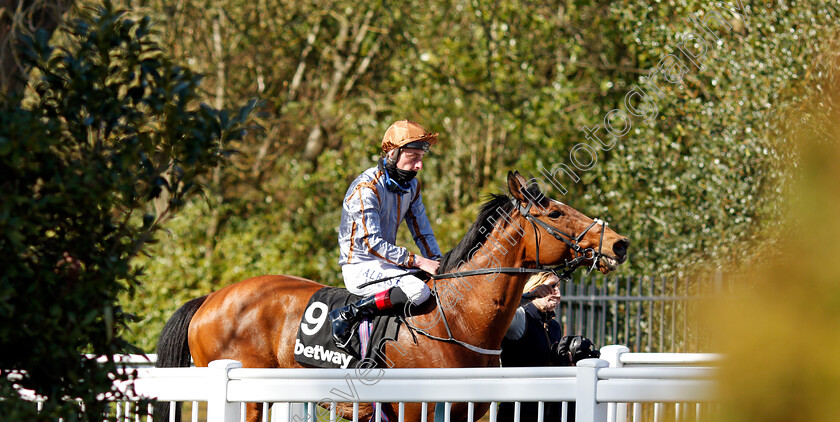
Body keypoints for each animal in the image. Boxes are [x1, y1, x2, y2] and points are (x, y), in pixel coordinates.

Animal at [156, 170, 632, 420]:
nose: (618, 243)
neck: (457, 318)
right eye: (556, 212)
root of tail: (210, 299)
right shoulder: (411, 407)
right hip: (245, 396)